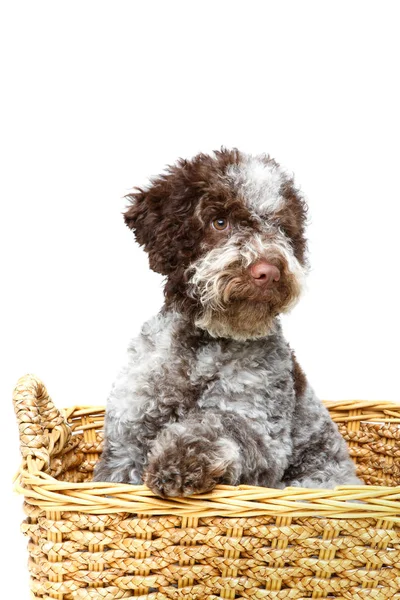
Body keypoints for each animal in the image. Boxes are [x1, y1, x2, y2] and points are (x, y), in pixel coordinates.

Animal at [93, 149, 360, 496]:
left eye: (281, 228)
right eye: (220, 222)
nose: (268, 272)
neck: (199, 345)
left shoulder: (260, 431)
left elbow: (217, 424)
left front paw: (179, 461)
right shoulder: (125, 440)